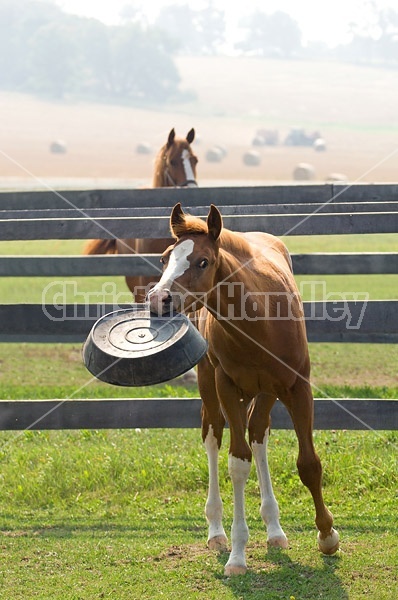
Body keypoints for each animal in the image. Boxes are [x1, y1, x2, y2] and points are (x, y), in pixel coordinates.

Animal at [148, 203, 340, 576]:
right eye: (165, 259)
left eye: (203, 261)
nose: (158, 299)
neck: (259, 319)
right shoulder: (226, 386)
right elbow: (237, 463)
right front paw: (238, 555)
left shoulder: (297, 387)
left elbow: (309, 463)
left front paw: (327, 536)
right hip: (211, 385)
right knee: (213, 434)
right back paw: (216, 531)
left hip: (265, 392)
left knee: (258, 433)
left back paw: (275, 530)